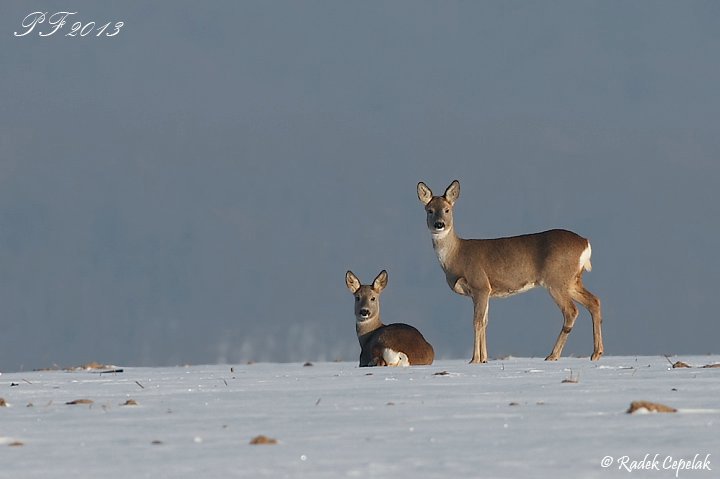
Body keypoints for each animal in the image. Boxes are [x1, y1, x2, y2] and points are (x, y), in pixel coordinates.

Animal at [416, 180, 600, 364]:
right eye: (430, 210)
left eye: (447, 209)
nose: (439, 224)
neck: (456, 255)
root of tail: (585, 242)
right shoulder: (484, 291)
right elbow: (485, 322)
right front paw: (484, 359)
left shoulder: (480, 285)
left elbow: (477, 321)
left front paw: (474, 360)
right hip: (572, 281)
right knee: (594, 302)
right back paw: (596, 353)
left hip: (556, 280)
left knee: (571, 311)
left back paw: (553, 355)